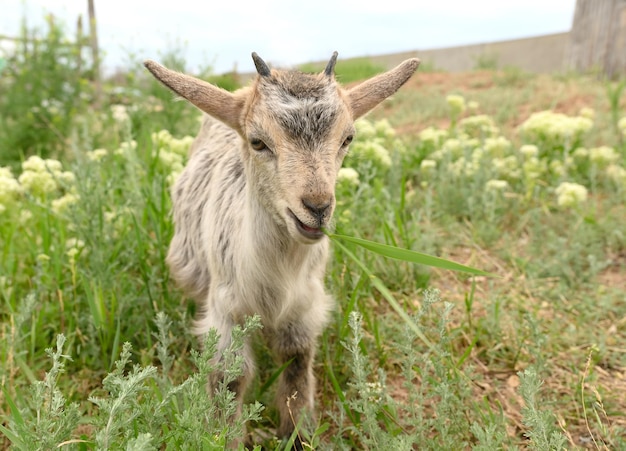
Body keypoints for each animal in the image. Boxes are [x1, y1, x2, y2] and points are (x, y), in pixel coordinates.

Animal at [145, 51, 420, 446]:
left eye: (347, 138)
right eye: (258, 142)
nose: (317, 207)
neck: (275, 282)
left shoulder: (302, 311)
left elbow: (296, 365)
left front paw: (299, 434)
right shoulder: (225, 311)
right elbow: (231, 377)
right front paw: (224, 438)